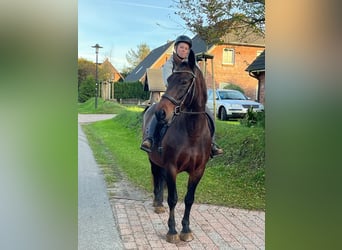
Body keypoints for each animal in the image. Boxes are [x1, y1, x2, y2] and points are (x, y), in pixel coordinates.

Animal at [141, 49, 211, 243]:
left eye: (185, 81)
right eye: (169, 79)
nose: (161, 113)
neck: (192, 133)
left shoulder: (198, 171)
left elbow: (189, 199)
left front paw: (186, 229)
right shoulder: (171, 167)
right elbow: (173, 198)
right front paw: (172, 231)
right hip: (153, 160)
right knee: (156, 177)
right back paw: (158, 204)